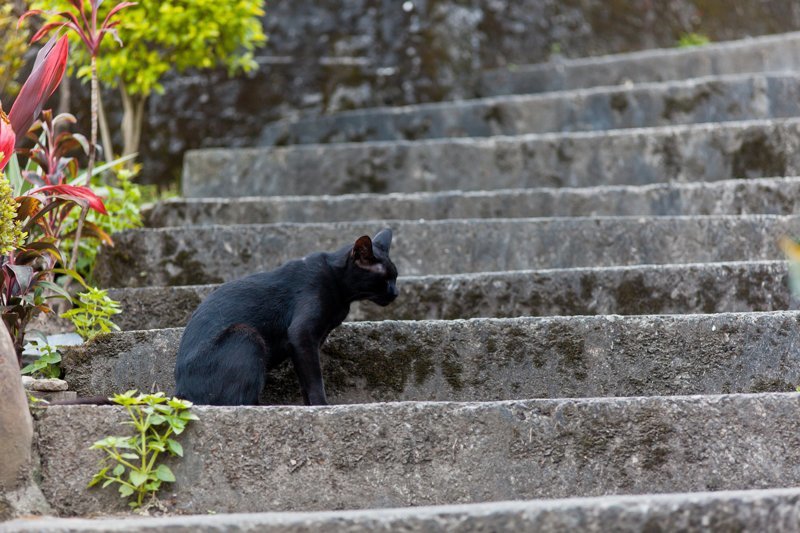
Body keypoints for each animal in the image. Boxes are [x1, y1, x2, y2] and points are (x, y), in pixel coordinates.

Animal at [176, 227, 400, 406]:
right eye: (385, 279)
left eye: (396, 277)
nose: (396, 293)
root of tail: (180, 394)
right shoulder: (302, 334)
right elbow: (315, 379)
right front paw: (321, 406)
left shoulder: (306, 344)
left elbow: (305, 380)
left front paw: (308, 406)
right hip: (245, 333)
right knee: (236, 401)